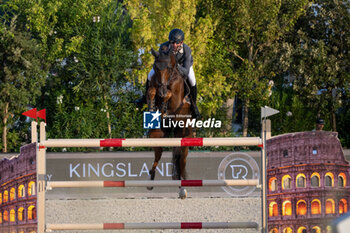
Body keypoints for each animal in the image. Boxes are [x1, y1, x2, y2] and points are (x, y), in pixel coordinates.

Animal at [146, 45, 193, 198]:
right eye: (155, 67)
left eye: (168, 67)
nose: (161, 89)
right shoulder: (153, 85)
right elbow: (151, 92)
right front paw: (154, 106)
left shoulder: (176, 98)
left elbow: (170, 94)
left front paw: (164, 102)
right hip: (156, 136)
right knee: (157, 157)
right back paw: (150, 181)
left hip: (184, 136)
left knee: (181, 161)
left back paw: (183, 188)